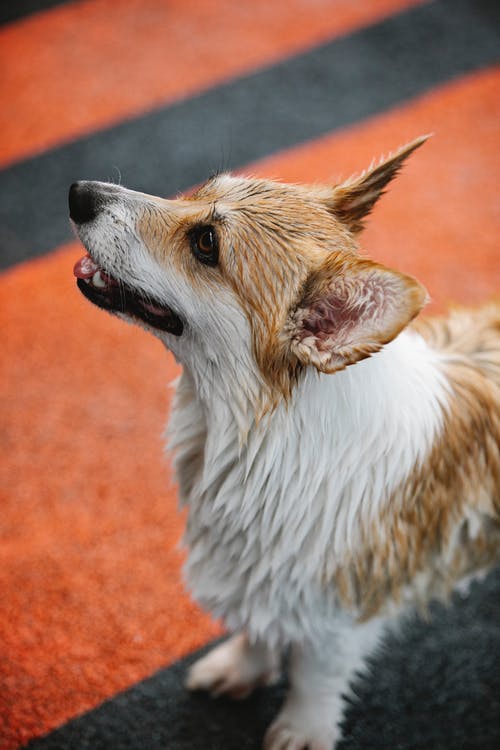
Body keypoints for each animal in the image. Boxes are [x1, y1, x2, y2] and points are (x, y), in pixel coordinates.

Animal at [70, 137, 500, 750]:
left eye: (206, 244)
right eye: (201, 189)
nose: (78, 192)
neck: (258, 426)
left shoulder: (339, 608)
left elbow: (315, 675)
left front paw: (302, 728)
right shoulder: (259, 571)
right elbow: (259, 623)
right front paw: (242, 667)